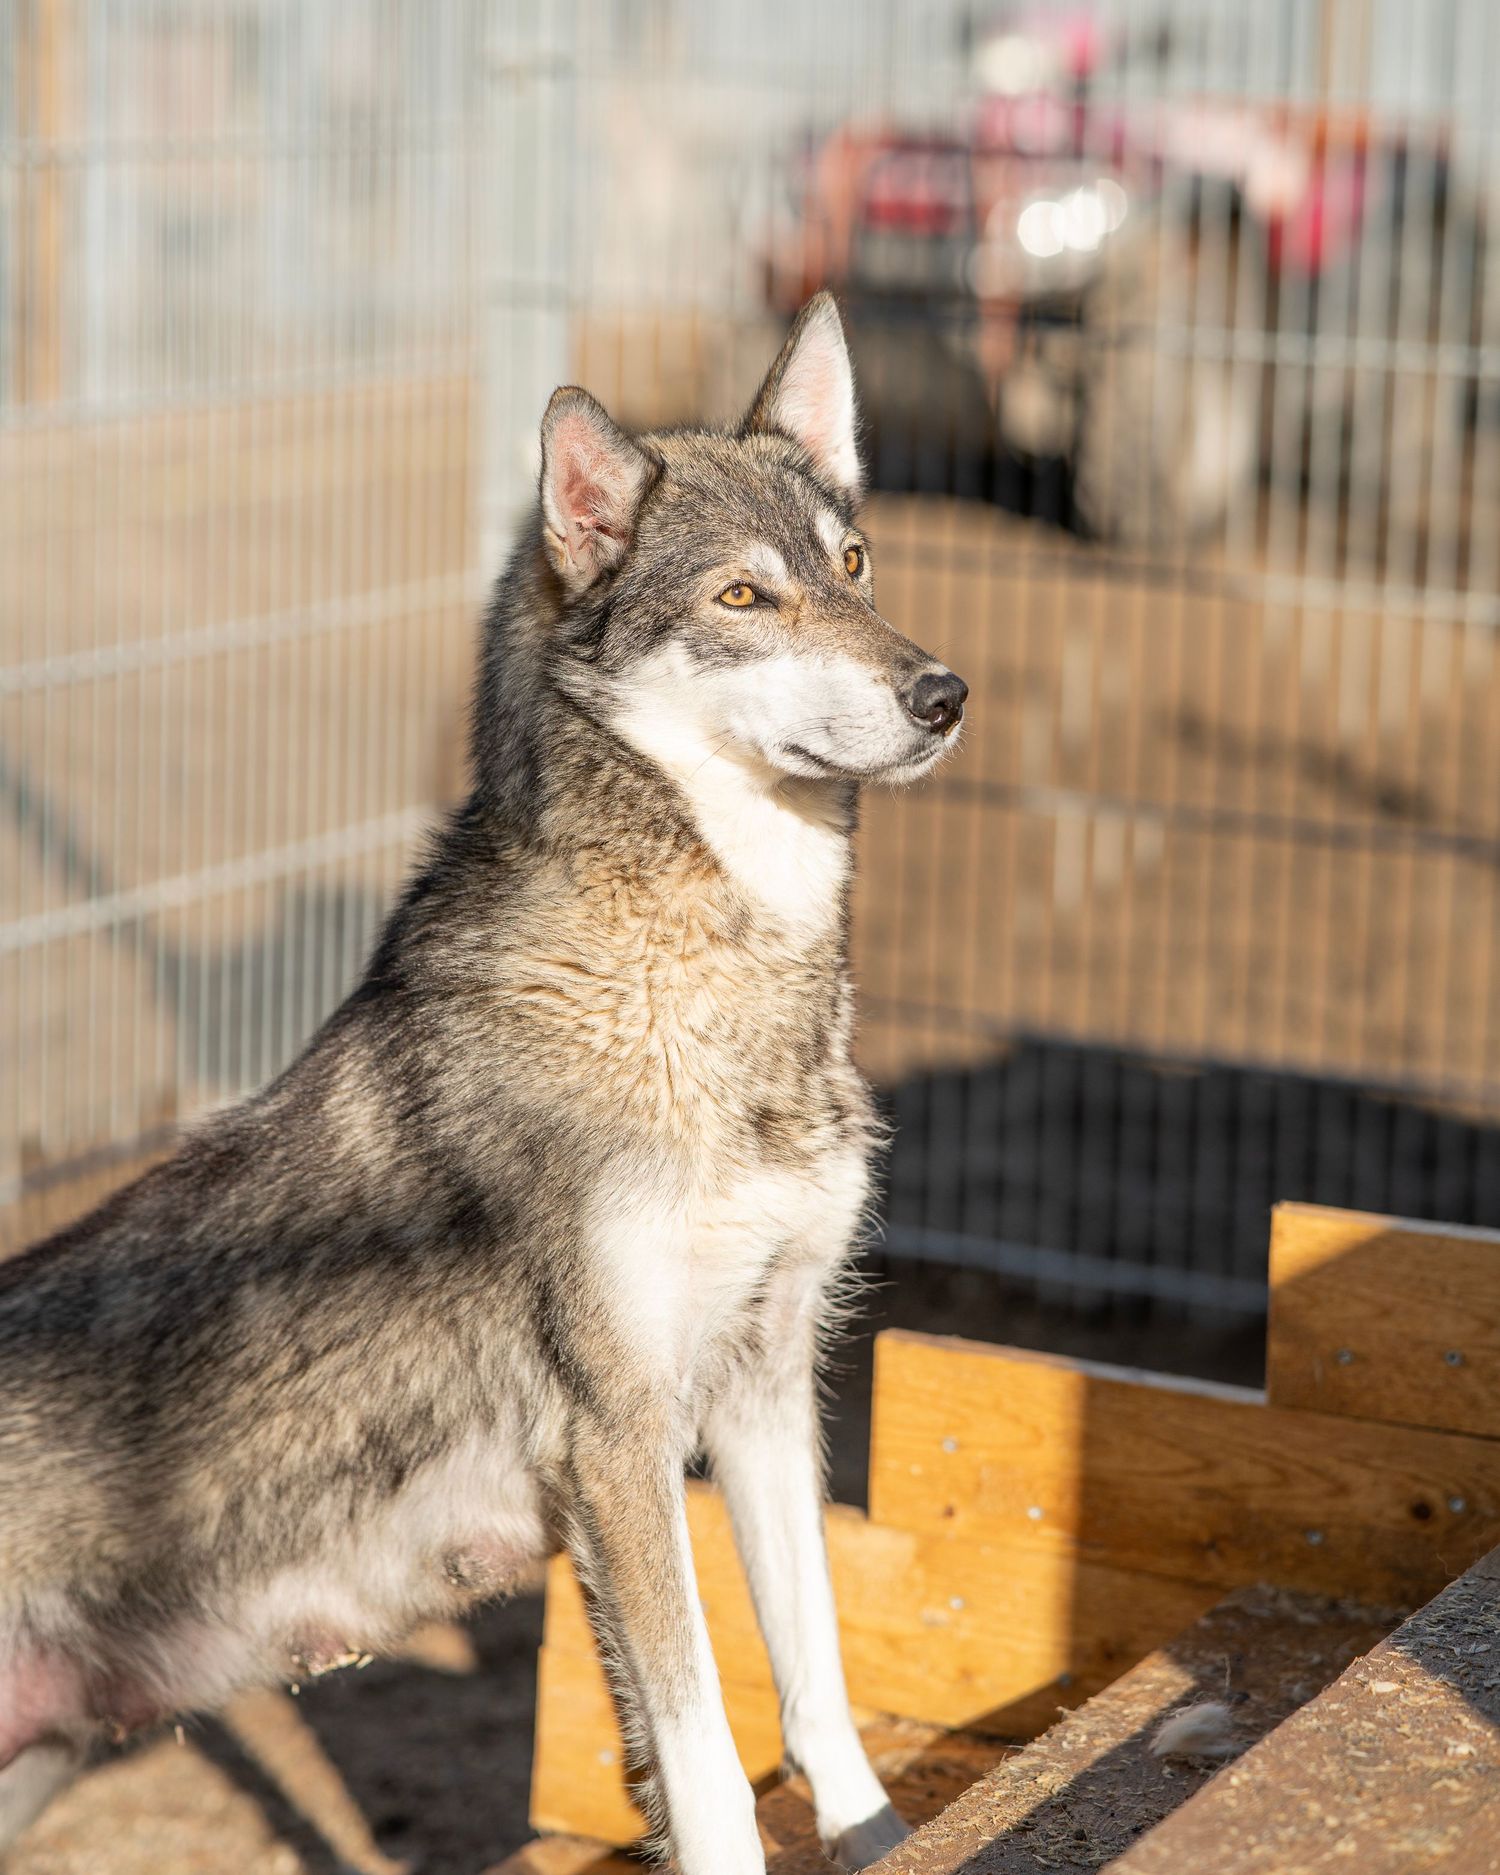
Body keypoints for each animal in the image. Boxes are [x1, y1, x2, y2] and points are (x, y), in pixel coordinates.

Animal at [0, 293, 967, 1873]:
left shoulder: (765, 1389)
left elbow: (817, 1682)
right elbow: (707, 1754)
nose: (944, 693)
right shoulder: (618, 1442)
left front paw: (881, 1834)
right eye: (743, 598)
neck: (694, 993)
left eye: (855, 567)